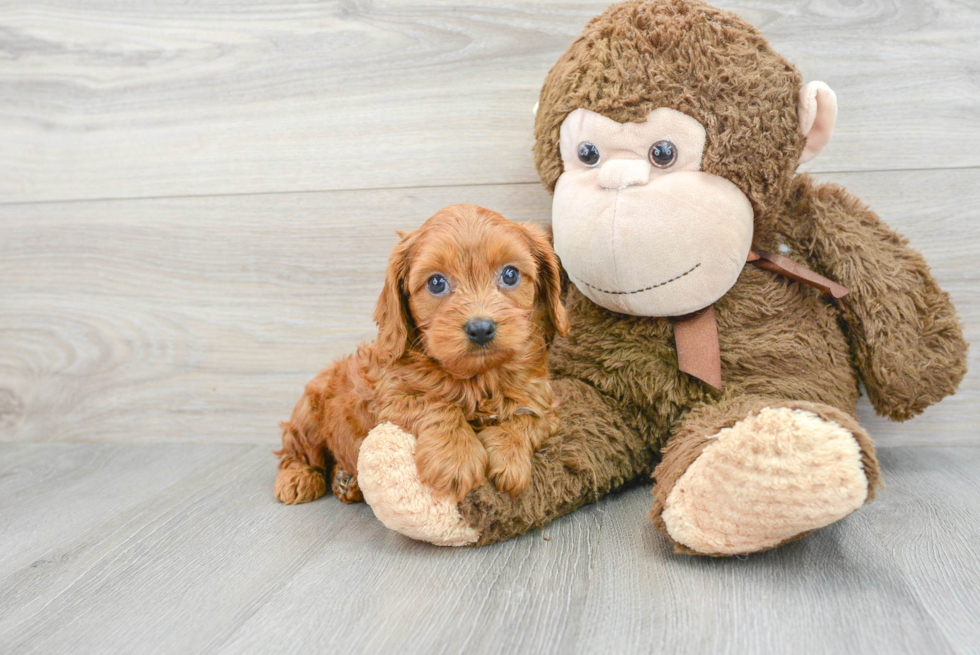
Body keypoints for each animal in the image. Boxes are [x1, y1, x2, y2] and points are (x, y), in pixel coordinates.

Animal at [274, 205, 568, 508]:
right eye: (436, 283)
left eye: (510, 275)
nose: (480, 329)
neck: (477, 377)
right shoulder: (391, 396)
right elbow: (436, 403)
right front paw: (456, 456)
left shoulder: (542, 400)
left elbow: (530, 416)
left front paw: (509, 455)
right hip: (307, 416)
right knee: (295, 453)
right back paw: (299, 478)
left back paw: (347, 482)